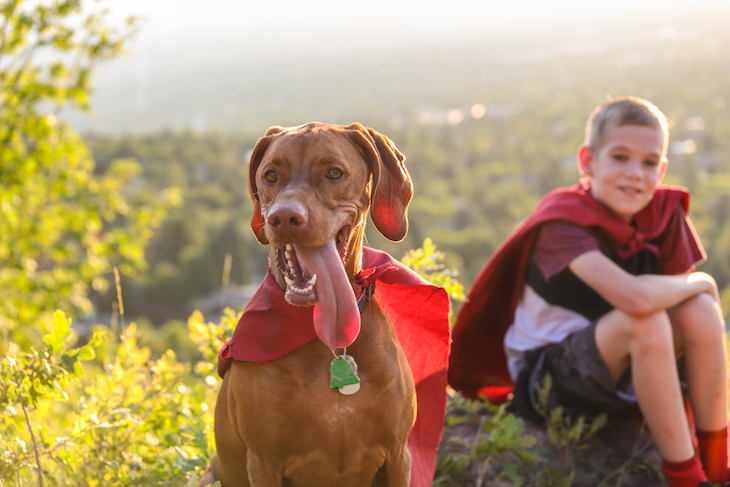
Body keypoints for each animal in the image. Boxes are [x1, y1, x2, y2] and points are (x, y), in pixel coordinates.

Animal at [198, 123, 438, 487]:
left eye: (334, 173)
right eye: (270, 176)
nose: (284, 218)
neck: (325, 338)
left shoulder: (398, 456)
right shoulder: (263, 464)